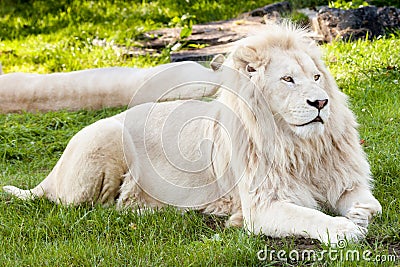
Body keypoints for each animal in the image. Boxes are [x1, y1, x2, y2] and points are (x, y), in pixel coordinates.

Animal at [2, 23, 382, 245]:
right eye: (287, 79)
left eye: (316, 77)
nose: (320, 102)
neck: (299, 146)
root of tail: (52, 174)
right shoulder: (262, 207)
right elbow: (309, 216)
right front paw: (345, 229)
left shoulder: (345, 182)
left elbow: (370, 204)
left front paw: (359, 215)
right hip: (103, 144)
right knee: (92, 209)